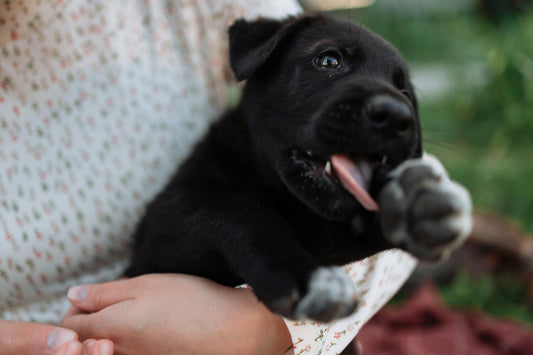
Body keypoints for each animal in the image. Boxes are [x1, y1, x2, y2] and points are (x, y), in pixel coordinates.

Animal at [125, 13, 470, 322]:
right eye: (329, 61)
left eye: (405, 92)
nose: (398, 116)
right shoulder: (159, 232)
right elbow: (237, 210)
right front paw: (301, 275)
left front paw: (408, 202)